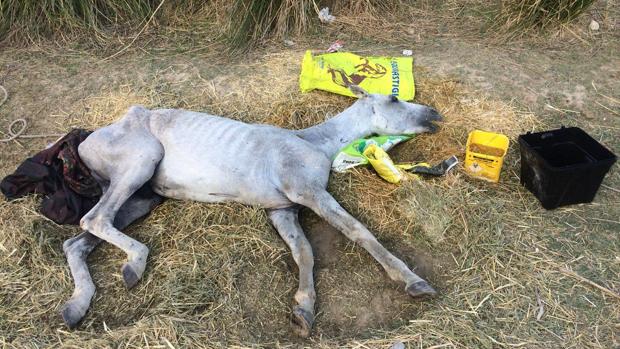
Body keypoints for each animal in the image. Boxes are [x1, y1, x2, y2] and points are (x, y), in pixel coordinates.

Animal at [60, 83, 440, 336]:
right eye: (394, 98)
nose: (434, 114)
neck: (313, 143)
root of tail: (85, 143)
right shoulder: (308, 192)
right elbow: (359, 231)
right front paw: (414, 282)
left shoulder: (283, 208)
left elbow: (303, 252)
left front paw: (303, 310)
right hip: (141, 161)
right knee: (94, 218)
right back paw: (135, 263)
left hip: (142, 196)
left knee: (77, 240)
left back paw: (76, 307)